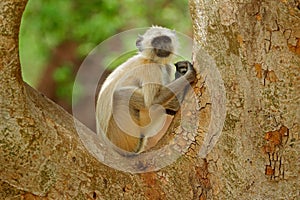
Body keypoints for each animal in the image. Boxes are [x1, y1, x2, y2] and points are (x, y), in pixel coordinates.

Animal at [95, 26, 196, 155]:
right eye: (156, 42)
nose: (163, 46)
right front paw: (187, 75)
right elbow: (151, 102)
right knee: (120, 95)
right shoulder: (150, 68)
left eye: (165, 40)